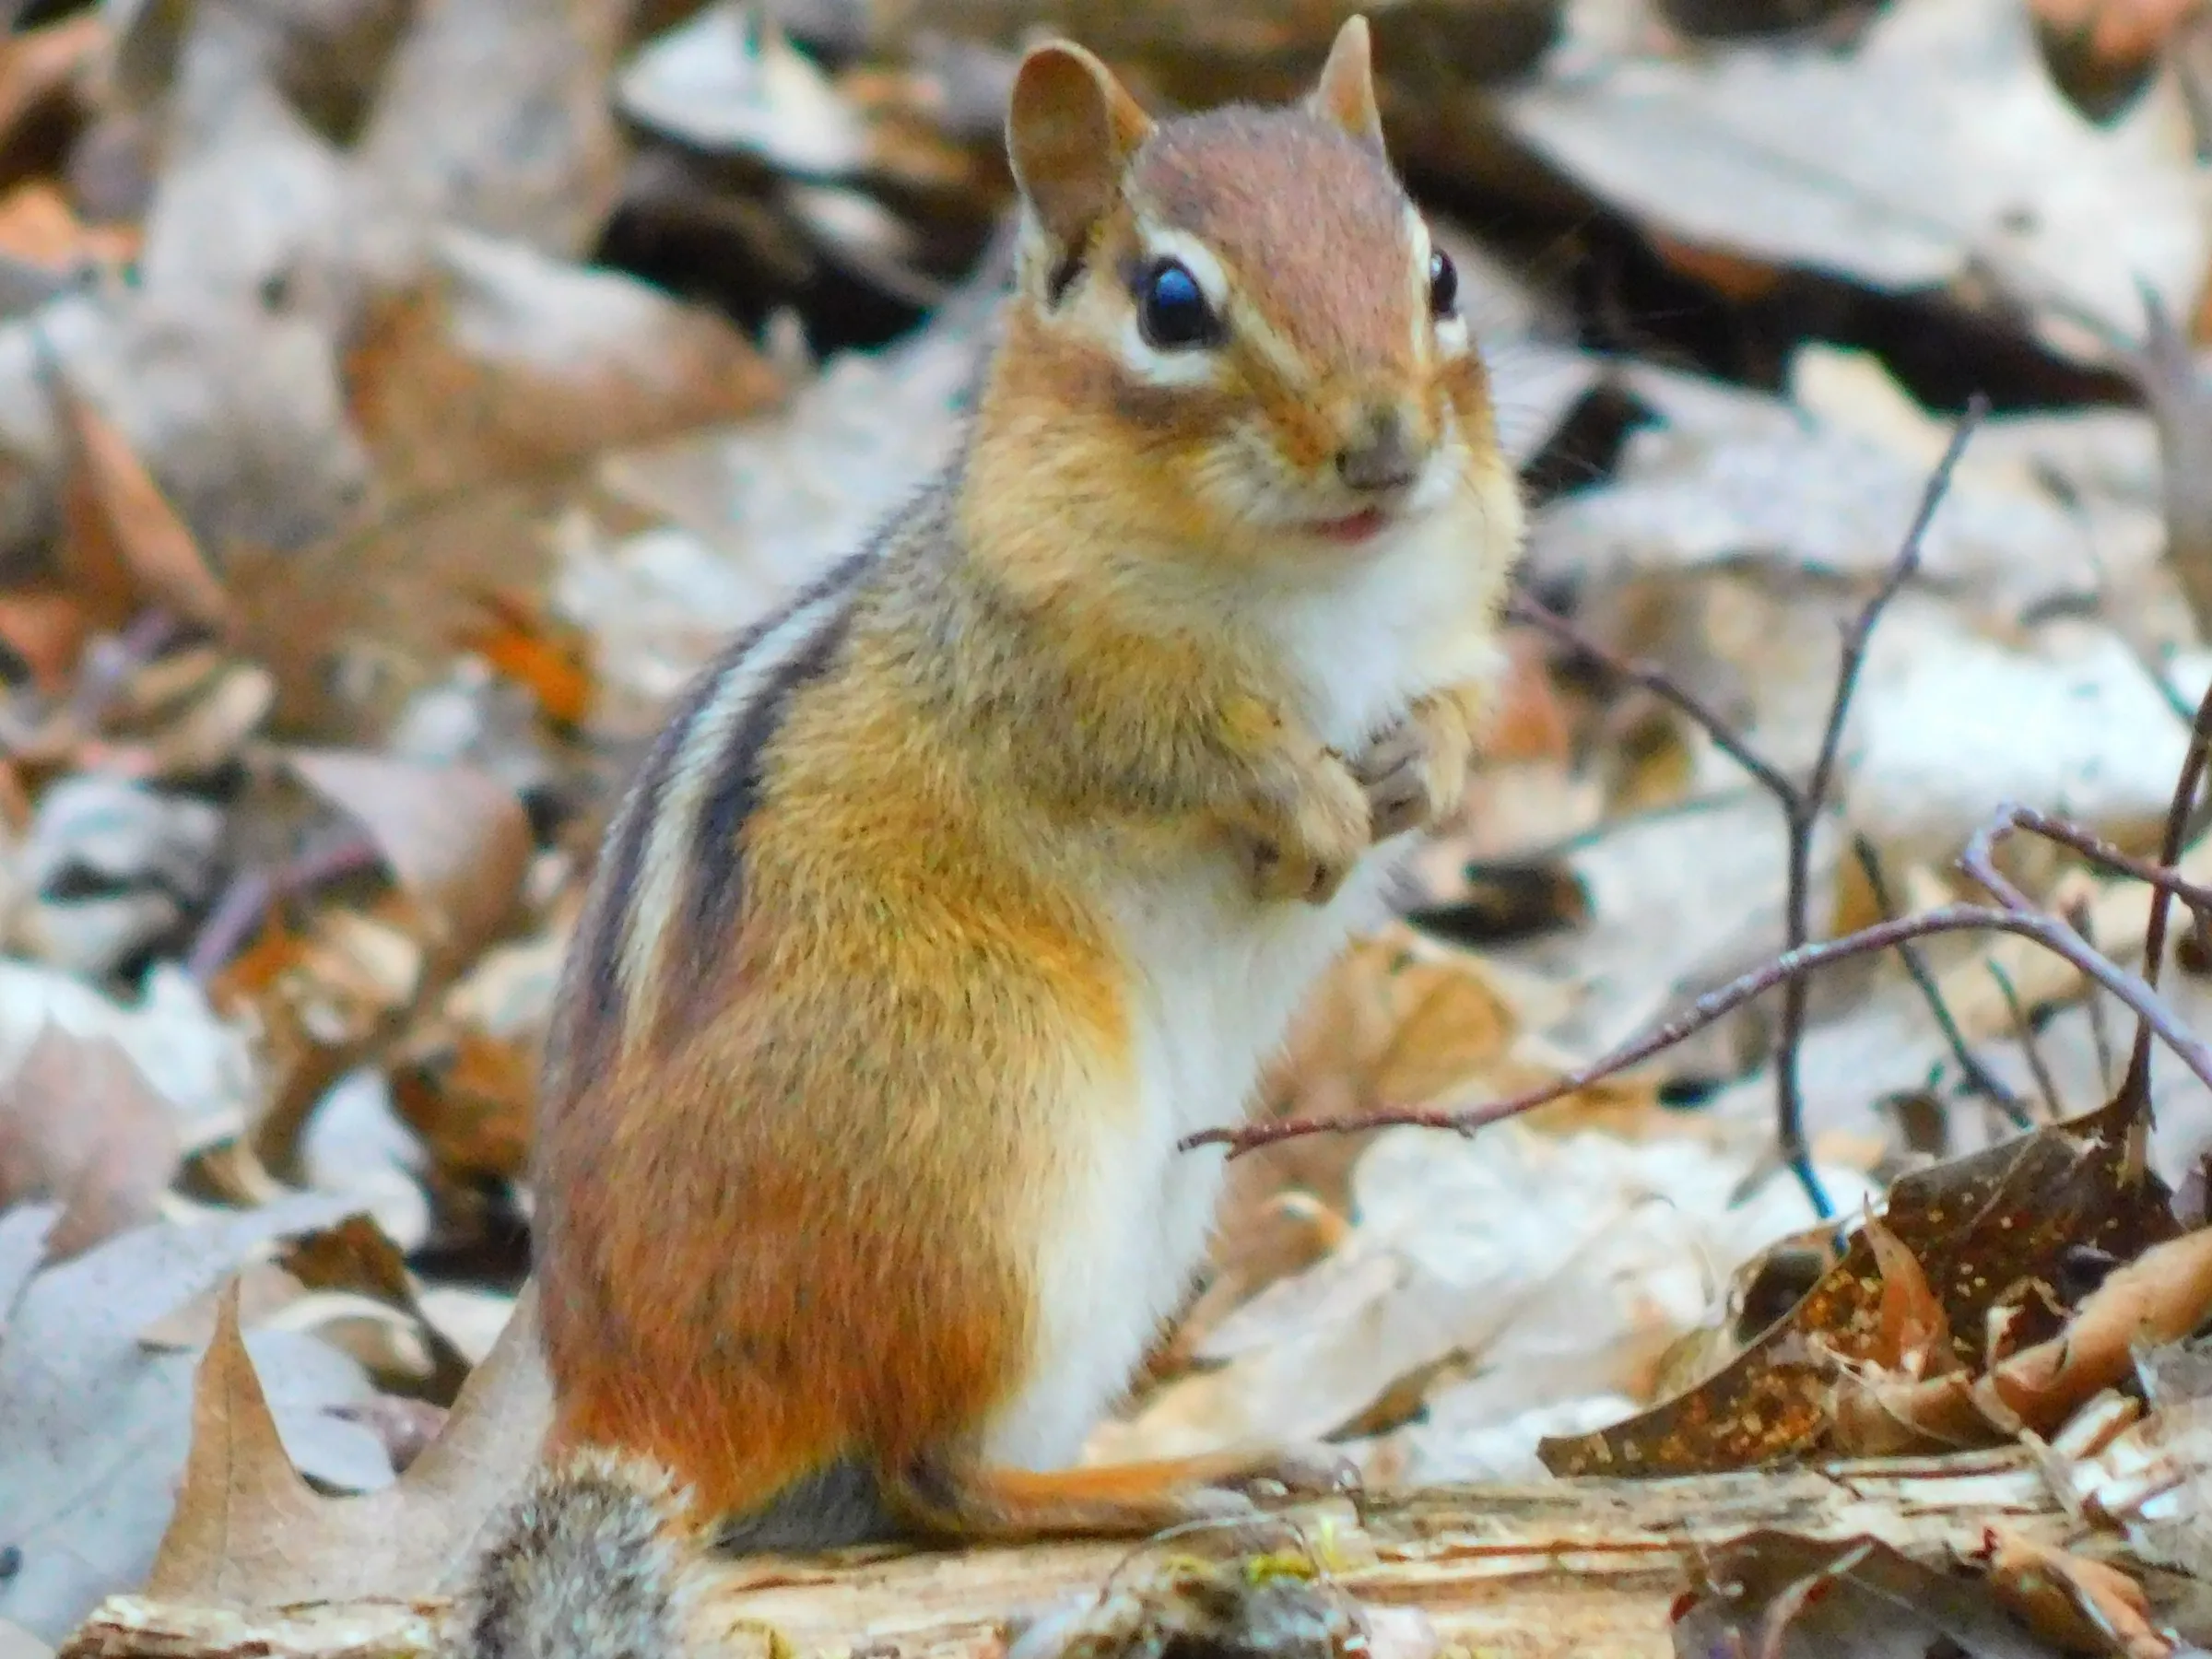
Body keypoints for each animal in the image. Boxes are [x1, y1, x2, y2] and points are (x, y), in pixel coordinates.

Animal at [455, 14, 1523, 1652]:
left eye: (1443, 274)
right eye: (1171, 304)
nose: (1388, 447)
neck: (1320, 585)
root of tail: (640, 1406)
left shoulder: (1452, 623)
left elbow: (1457, 709)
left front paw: (1417, 774)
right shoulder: (1041, 669)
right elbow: (1169, 742)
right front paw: (1306, 796)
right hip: (986, 1139)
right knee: (933, 1477)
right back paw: (1174, 1483)